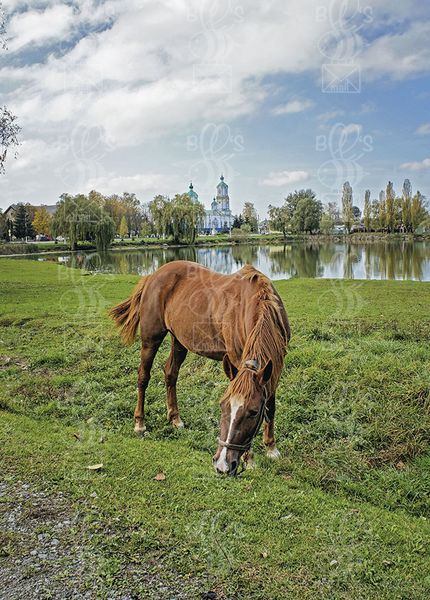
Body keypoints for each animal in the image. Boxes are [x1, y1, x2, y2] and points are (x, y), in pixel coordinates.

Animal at [111, 260, 290, 476]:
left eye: (254, 412)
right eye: (222, 406)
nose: (222, 464)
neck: (259, 304)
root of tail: (153, 276)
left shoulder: (274, 367)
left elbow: (270, 407)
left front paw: (271, 448)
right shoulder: (237, 361)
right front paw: (250, 458)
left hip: (179, 340)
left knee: (170, 373)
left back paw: (175, 418)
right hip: (150, 339)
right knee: (143, 377)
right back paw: (140, 423)